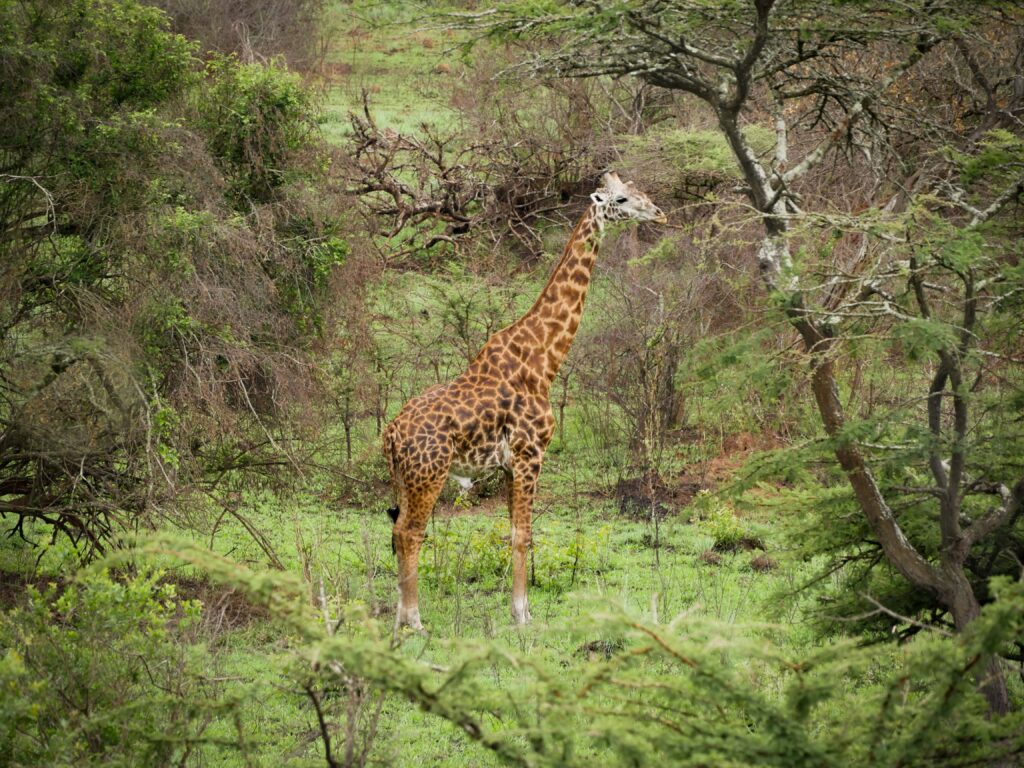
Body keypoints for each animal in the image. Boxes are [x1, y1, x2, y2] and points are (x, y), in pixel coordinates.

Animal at [382, 172, 666, 629]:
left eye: (640, 192)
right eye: (621, 199)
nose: (658, 213)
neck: (544, 358)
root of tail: (389, 434)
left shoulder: (508, 465)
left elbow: (513, 530)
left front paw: (520, 608)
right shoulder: (531, 453)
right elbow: (523, 534)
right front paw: (522, 613)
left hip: (405, 478)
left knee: (396, 530)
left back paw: (397, 617)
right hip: (431, 474)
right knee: (411, 532)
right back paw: (415, 620)